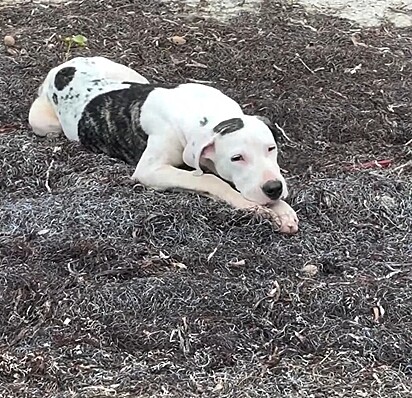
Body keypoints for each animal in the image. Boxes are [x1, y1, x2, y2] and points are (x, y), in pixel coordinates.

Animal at [29, 57, 300, 235]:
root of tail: (60, 68)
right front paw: (253, 207)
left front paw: (282, 209)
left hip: (132, 75)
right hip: (41, 122)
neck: (204, 111)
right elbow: (209, 180)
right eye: (237, 158)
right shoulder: (150, 171)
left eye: (271, 149)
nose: (274, 188)